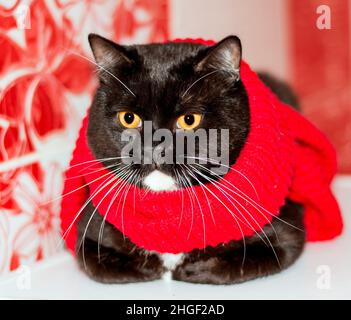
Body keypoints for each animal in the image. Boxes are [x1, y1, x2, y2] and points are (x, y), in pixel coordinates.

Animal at [76, 34, 306, 284]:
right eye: (128, 118)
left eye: (189, 119)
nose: (155, 147)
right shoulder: (87, 234)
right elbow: (96, 263)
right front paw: (154, 269)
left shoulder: (285, 235)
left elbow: (245, 260)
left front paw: (190, 270)